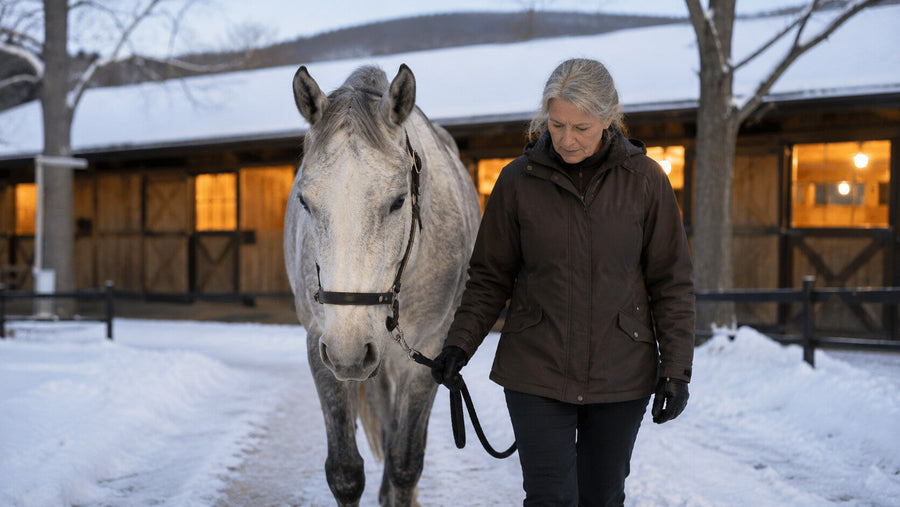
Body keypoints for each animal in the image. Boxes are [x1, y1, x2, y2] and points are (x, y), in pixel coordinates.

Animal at [284, 64, 481, 506]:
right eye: (305, 202)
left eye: (397, 201)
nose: (349, 350)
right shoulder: (320, 344)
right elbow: (344, 472)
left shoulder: (428, 353)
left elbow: (404, 465)